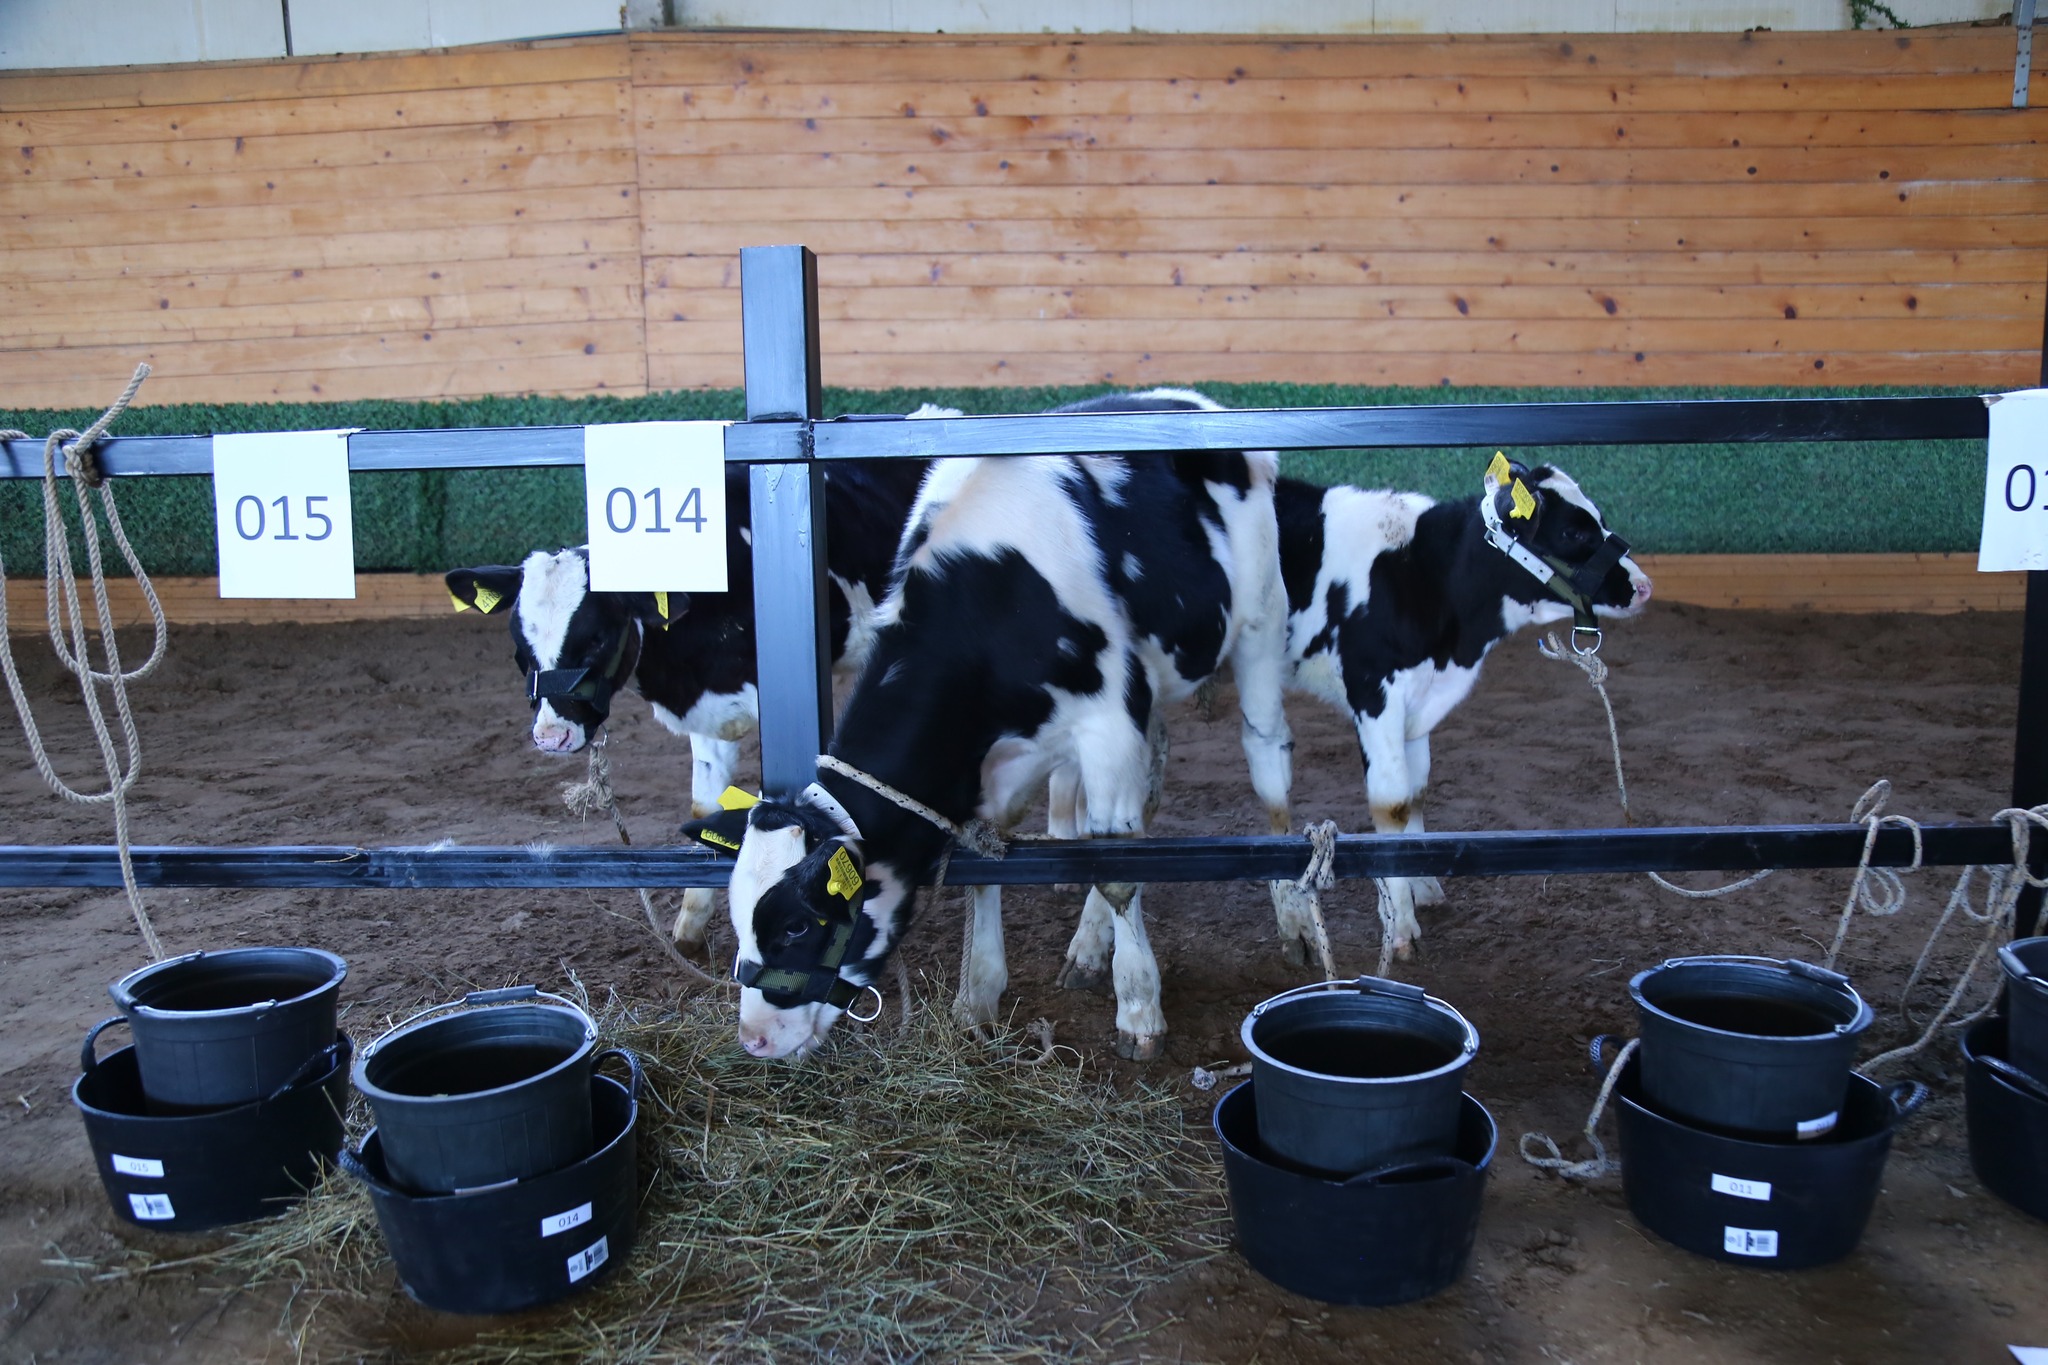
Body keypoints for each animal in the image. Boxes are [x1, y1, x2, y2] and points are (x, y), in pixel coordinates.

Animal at [445, 435, 938, 950]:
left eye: (596, 637)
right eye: (519, 647)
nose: (551, 736)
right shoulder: (709, 713)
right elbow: (707, 808)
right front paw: (690, 926)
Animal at [688, 390, 1296, 1062]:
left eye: (798, 924)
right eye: (738, 915)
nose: (755, 1038)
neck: (991, 593)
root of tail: (1185, 398)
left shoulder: (1109, 720)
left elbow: (1115, 873)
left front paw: (1139, 1010)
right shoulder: (1005, 759)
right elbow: (990, 863)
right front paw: (977, 995)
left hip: (1262, 620)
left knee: (1265, 765)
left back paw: (1294, 920)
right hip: (1153, 690)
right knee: (1144, 799)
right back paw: (1089, 947)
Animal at [1273, 452, 1652, 959]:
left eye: (1600, 518)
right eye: (1573, 533)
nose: (1645, 586)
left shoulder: (1419, 705)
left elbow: (1416, 794)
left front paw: (1425, 886)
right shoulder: (1375, 696)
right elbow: (1392, 806)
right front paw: (1401, 926)